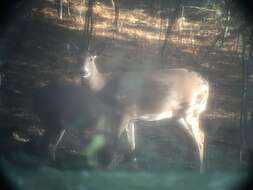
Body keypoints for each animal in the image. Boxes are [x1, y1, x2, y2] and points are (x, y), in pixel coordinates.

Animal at [80, 52, 209, 172]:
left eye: (91, 59)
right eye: (79, 58)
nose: (83, 71)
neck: (107, 87)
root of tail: (206, 85)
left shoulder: (126, 111)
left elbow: (115, 139)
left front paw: (109, 166)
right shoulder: (131, 118)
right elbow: (132, 143)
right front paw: (135, 166)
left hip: (191, 111)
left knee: (200, 137)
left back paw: (200, 170)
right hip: (179, 115)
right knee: (194, 137)